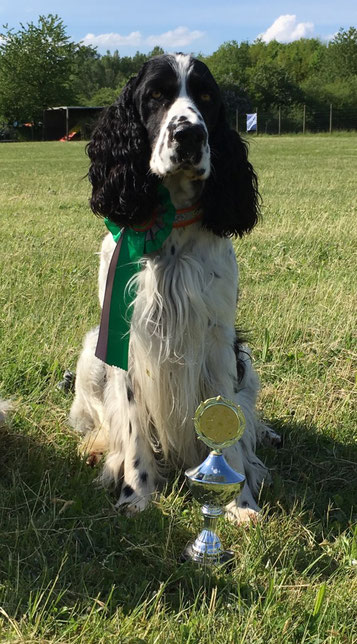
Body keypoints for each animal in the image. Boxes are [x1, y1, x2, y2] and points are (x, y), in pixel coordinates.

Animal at [68, 54, 276, 524]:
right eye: (156, 96)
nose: (190, 134)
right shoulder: (126, 336)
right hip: (91, 356)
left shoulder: (217, 340)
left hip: (246, 361)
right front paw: (136, 496)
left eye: (206, 97)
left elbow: (229, 434)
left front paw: (241, 504)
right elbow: (130, 426)